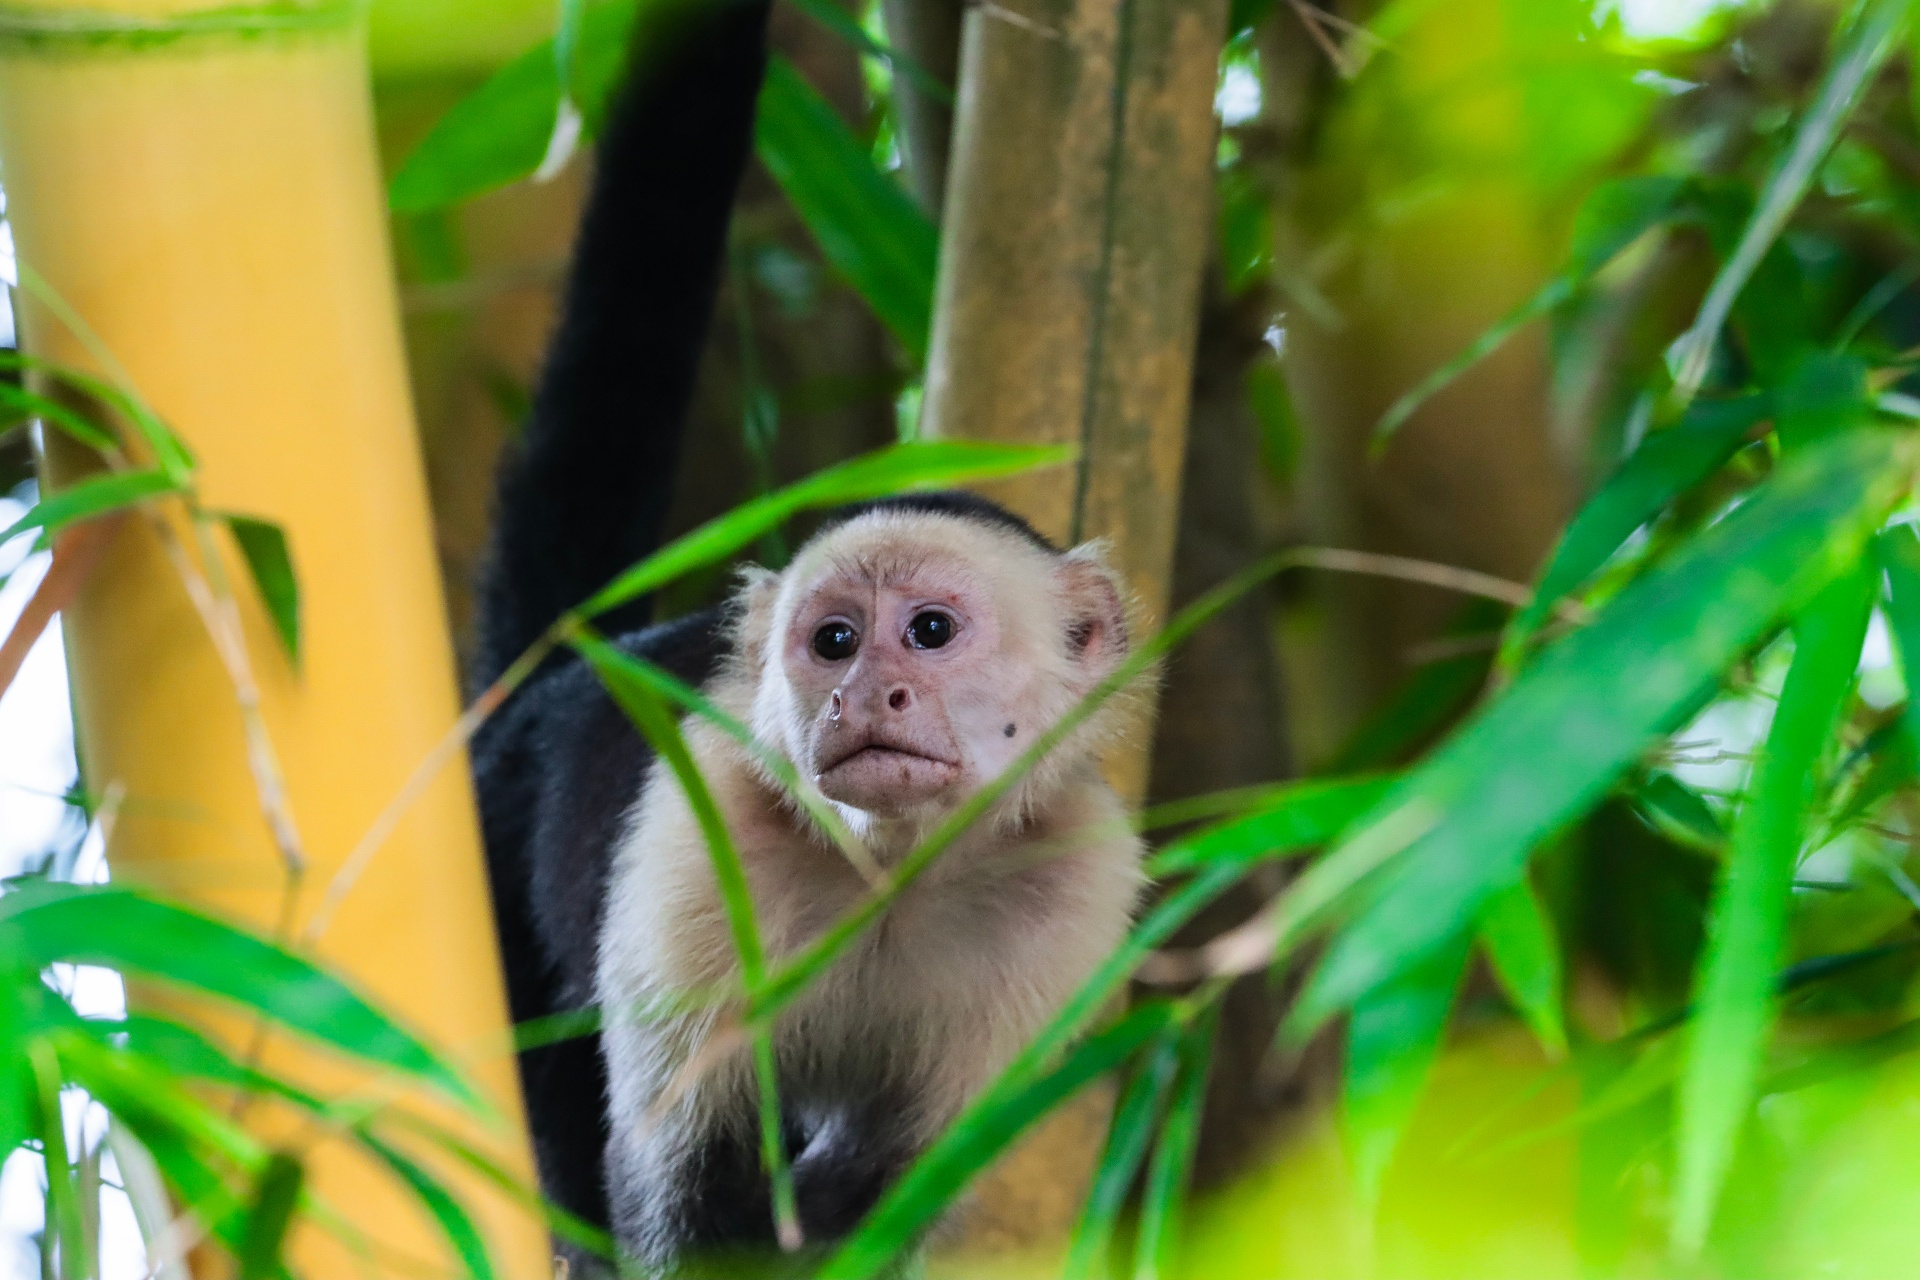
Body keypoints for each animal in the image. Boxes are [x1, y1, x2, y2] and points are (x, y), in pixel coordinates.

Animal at [466, 0, 1148, 1272]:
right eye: (833, 641)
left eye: (927, 631)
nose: (861, 696)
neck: (897, 869)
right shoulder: (699, 847)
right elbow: (673, 1182)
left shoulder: (1074, 895)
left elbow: (888, 1189)